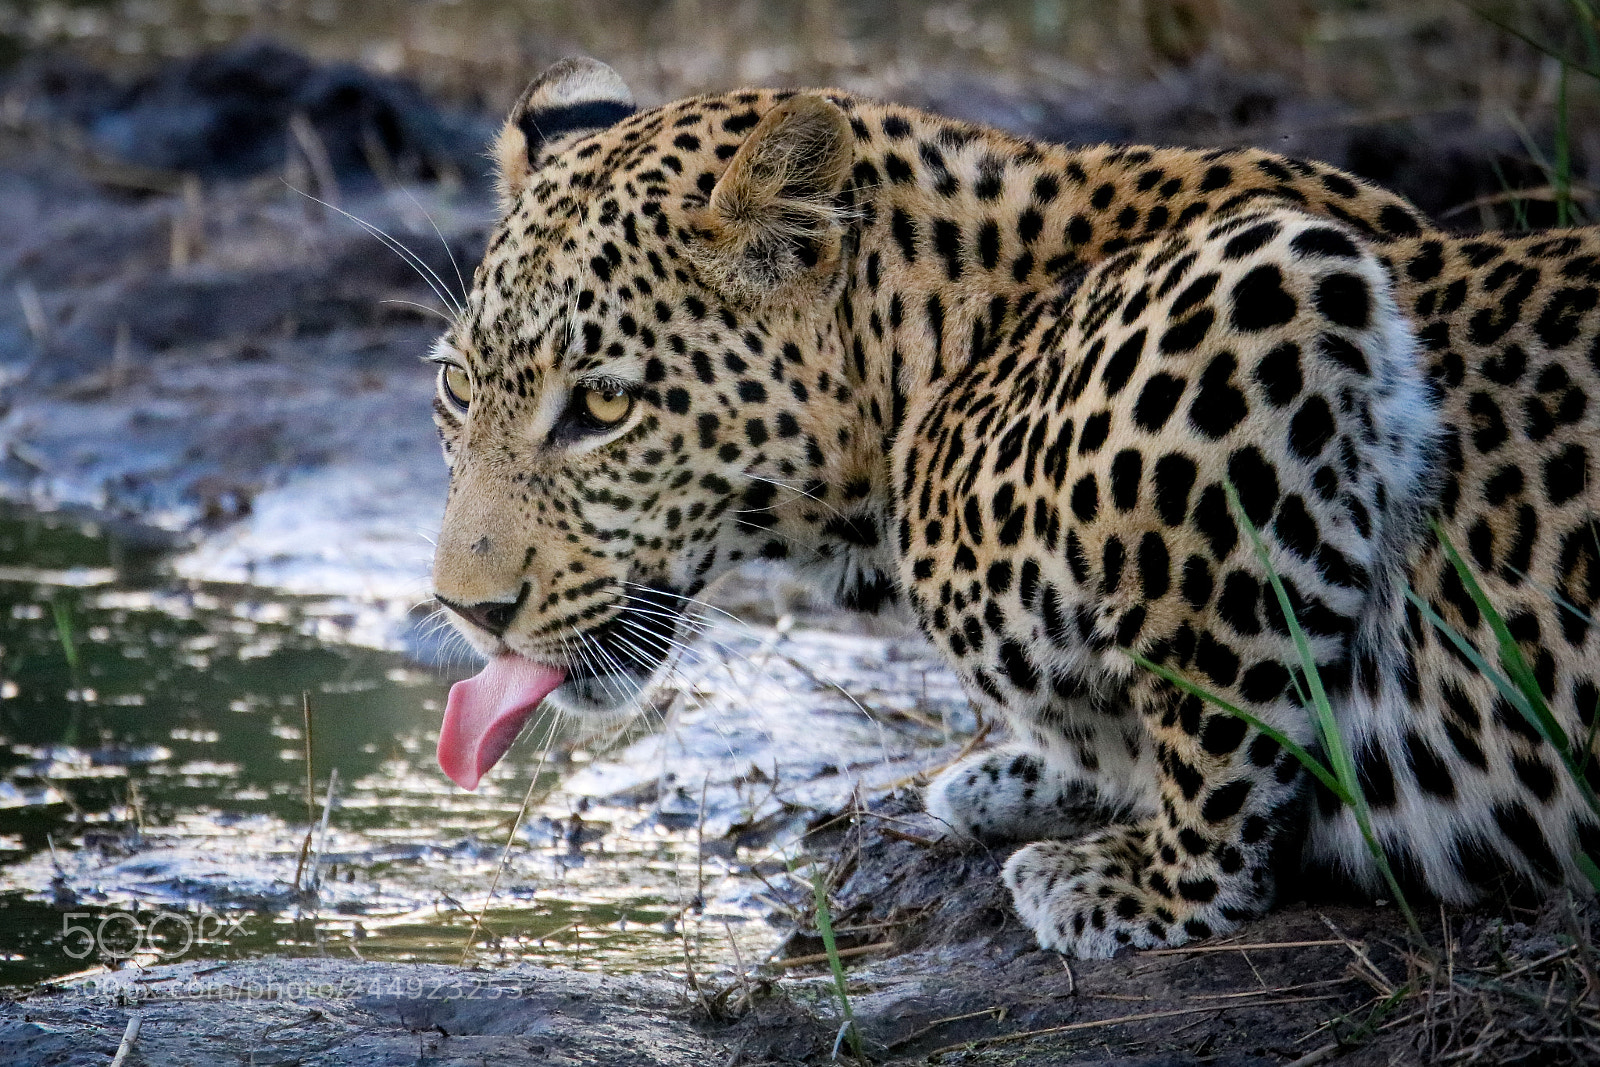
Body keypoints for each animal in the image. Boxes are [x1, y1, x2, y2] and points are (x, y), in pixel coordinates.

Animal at [428, 57, 1600, 958]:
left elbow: (1218, 713)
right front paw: (1025, 774)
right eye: (456, 386)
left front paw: (1141, 884)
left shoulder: (1271, 289)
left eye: (604, 402)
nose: (467, 610)